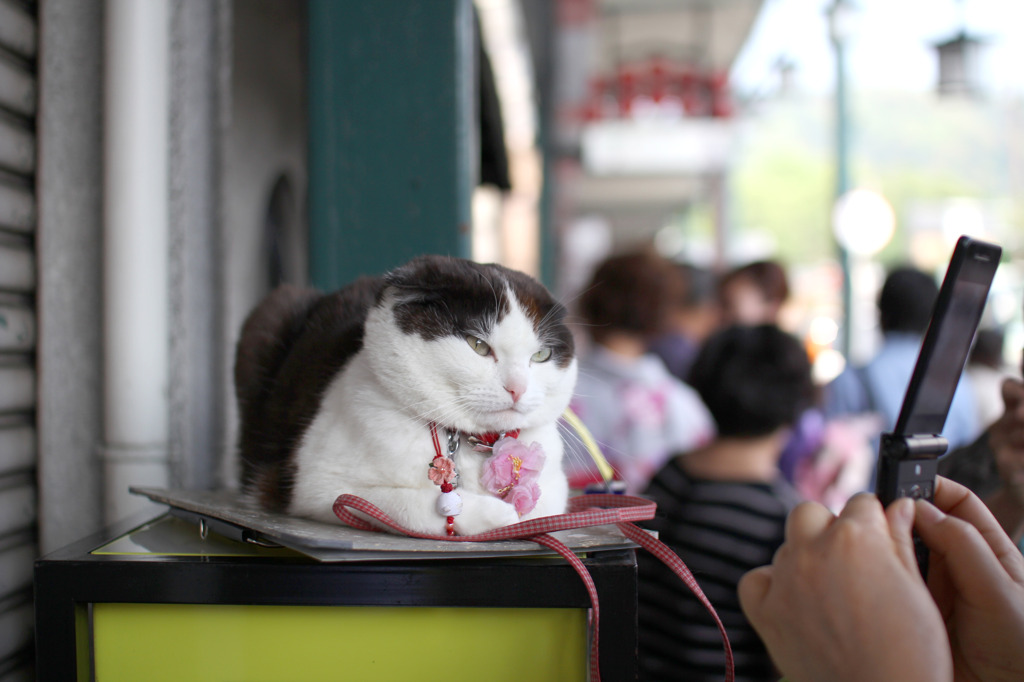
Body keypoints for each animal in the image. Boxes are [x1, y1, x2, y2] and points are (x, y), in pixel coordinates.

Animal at [234, 251, 581, 532]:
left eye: (541, 355)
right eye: (478, 345)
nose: (517, 388)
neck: (471, 445)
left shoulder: (557, 486)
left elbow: (543, 507)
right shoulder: (316, 483)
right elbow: (400, 505)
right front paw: (498, 514)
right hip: (270, 312)